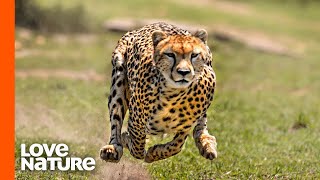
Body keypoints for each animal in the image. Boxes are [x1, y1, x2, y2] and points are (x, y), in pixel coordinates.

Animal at [99, 22, 216, 163]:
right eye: (170, 55)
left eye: (194, 55)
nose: (183, 72)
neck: (174, 95)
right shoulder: (136, 122)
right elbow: (137, 146)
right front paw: (126, 139)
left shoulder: (185, 127)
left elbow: (176, 146)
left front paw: (154, 153)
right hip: (118, 78)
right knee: (116, 120)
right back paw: (112, 148)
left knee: (201, 126)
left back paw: (207, 145)